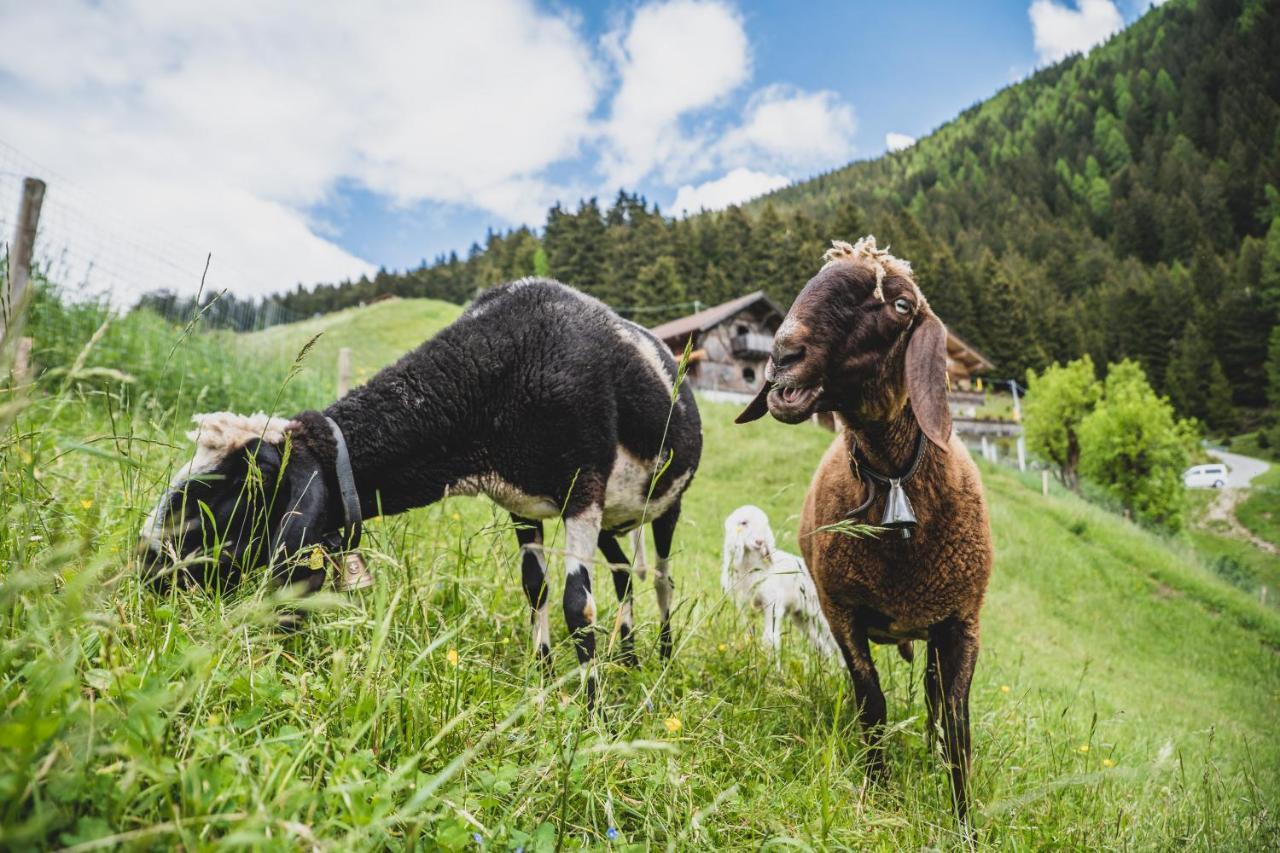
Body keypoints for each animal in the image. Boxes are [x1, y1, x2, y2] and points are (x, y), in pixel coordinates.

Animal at [142, 279, 701, 691]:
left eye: (240, 490)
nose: (145, 563)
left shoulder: (581, 491)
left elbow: (576, 606)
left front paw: (590, 718)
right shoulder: (524, 504)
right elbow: (535, 589)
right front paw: (544, 681)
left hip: (664, 505)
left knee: (661, 578)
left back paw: (664, 657)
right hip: (615, 517)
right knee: (624, 573)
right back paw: (628, 657)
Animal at [721, 504, 839, 655]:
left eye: (764, 525)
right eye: (743, 523)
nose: (760, 542)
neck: (750, 567)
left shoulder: (772, 603)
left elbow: (770, 639)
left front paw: (773, 661)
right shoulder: (743, 606)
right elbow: (749, 634)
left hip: (819, 614)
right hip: (802, 617)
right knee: (824, 648)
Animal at [737, 235, 993, 814]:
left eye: (900, 305)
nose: (783, 355)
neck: (896, 478)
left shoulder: (962, 621)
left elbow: (958, 726)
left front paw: (963, 818)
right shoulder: (842, 612)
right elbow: (871, 702)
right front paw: (878, 789)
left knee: (933, 698)